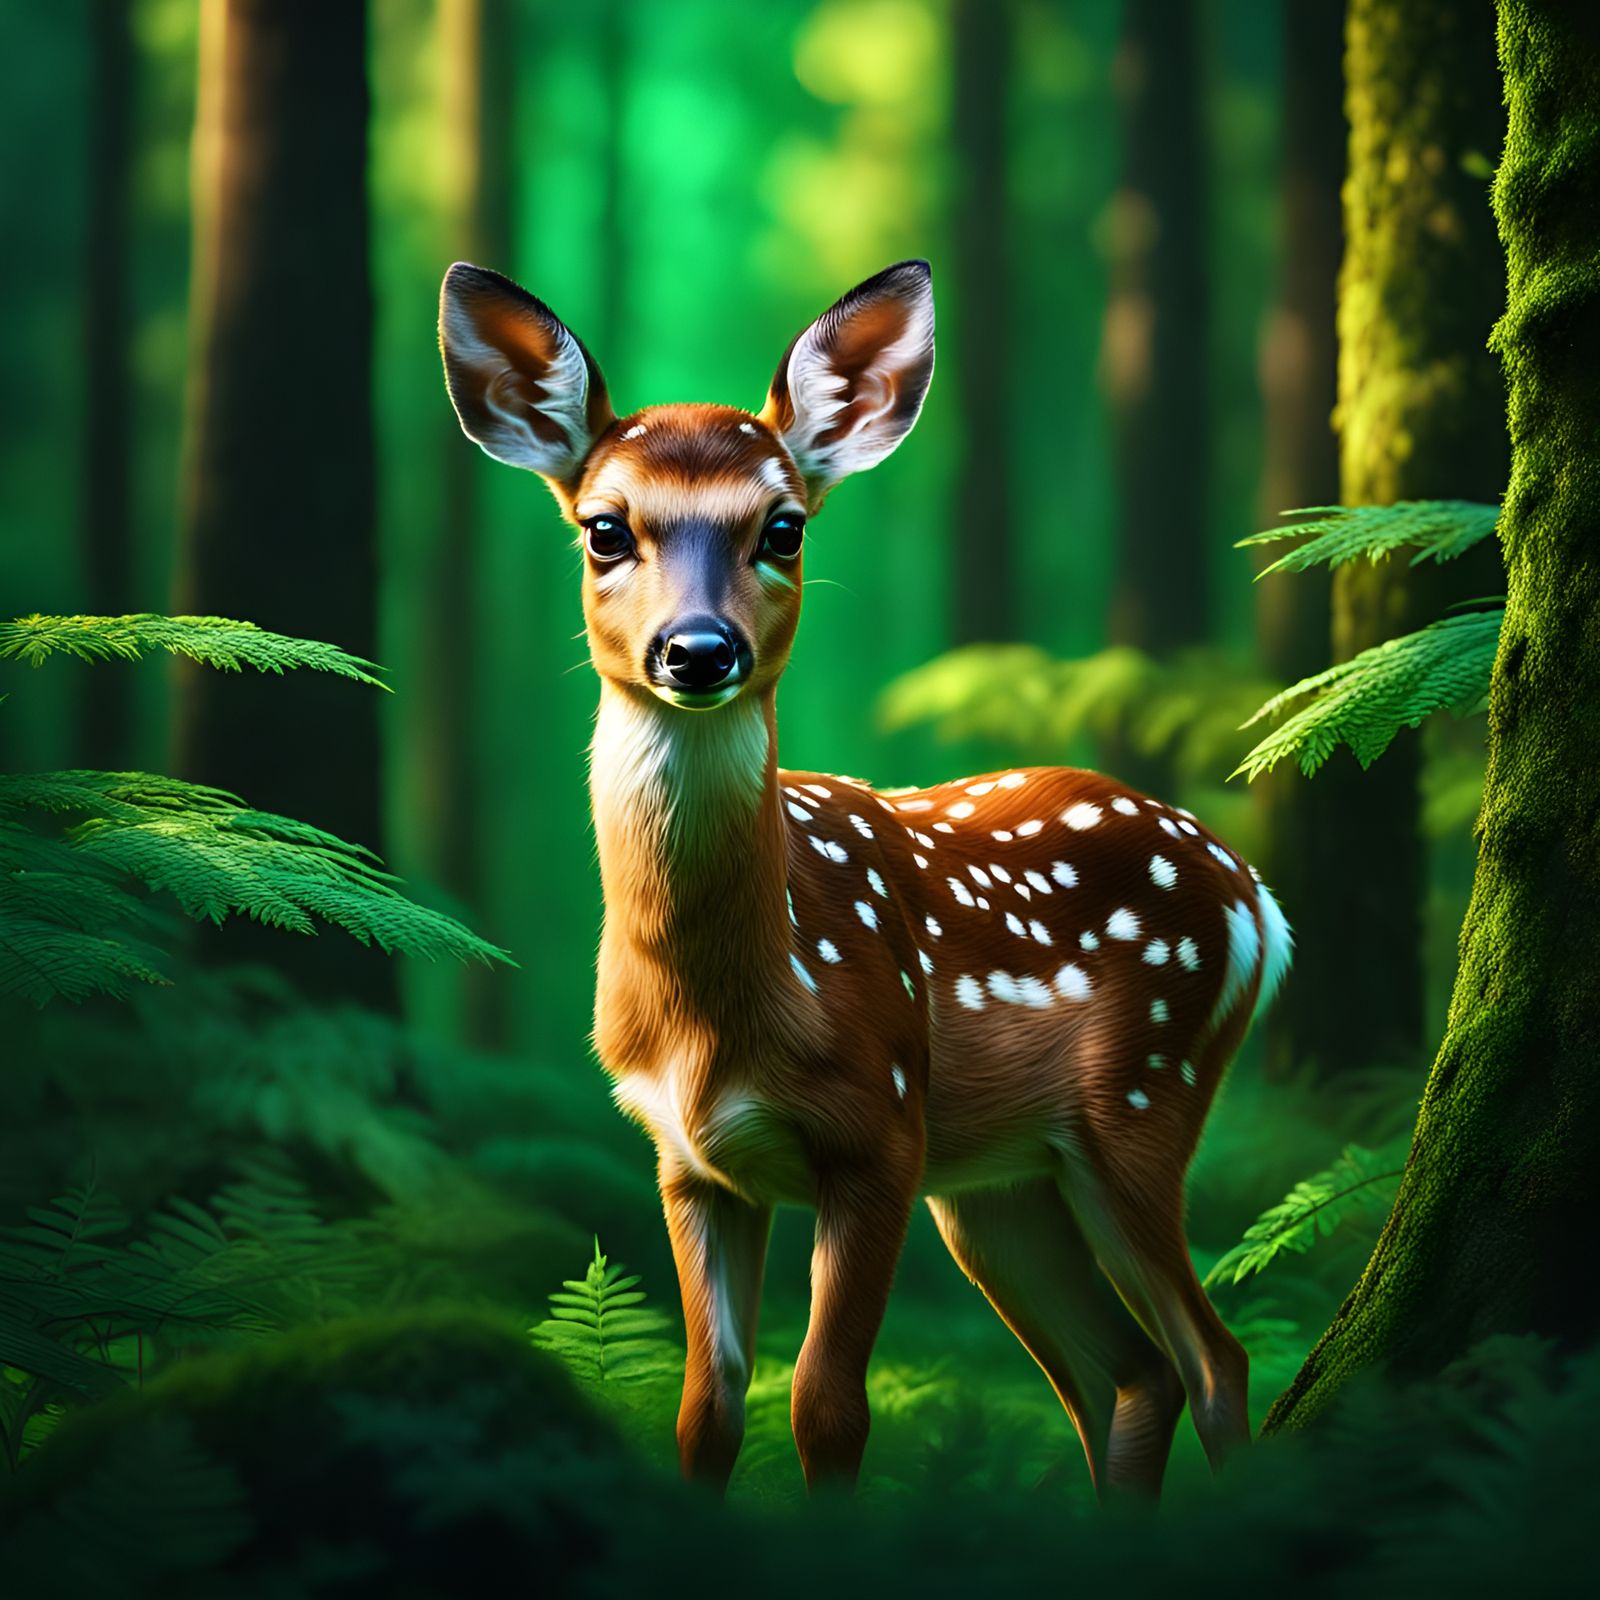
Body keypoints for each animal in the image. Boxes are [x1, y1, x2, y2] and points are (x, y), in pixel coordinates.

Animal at [438, 258, 1292, 1503]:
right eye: (604, 529)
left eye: (783, 526)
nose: (698, 649)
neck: (728, 1010)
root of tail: (1255, 896)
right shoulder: (686, 1161)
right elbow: (705, 1407)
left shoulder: (879, 1129)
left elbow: (828, 1406)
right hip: (998, 1187)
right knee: (1130, 1373)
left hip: (1142, 1096)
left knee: (1211, 1354)